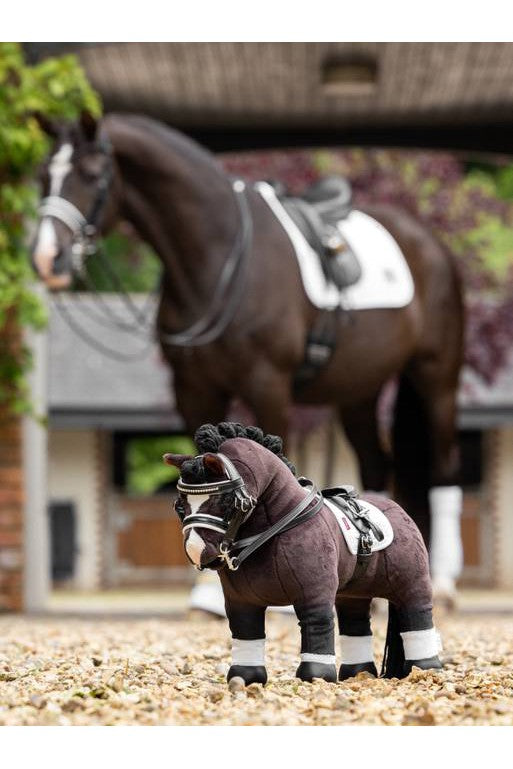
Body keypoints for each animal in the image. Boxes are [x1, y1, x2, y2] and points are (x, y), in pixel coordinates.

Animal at [31, 111, 464, 600]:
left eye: (91, 175)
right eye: (43, 175)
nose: (46, 257)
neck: (220, 260)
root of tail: (432, 245)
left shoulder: (268, 383)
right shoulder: (193, 388)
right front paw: (206, 591)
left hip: (437, 377)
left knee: (445, 466)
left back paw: (443, 581)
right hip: (359, 390)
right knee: (375, 462)